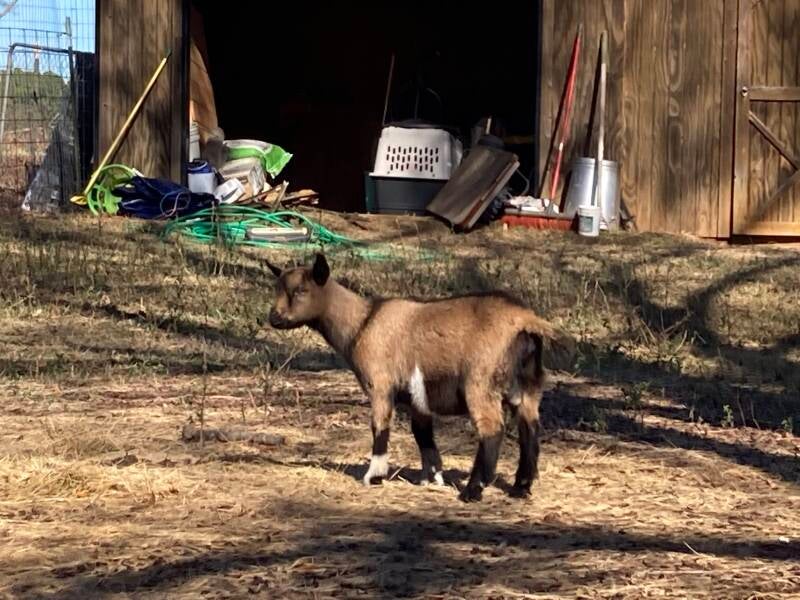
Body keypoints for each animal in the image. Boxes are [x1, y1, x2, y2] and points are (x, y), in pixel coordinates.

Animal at [267, 253, 573, 502]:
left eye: (301, 290)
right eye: (278, 288)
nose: (274, 319)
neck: (362, 322)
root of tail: (526, 321)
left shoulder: (379, 384)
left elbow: (380, 427)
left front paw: (375, 475)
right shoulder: (417, 397)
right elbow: (422, 433)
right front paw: (432, 477)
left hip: (480, 382)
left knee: (492, 429)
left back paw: (473, 490)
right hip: (529, 384)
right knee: (529, 428)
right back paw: (521, 488)